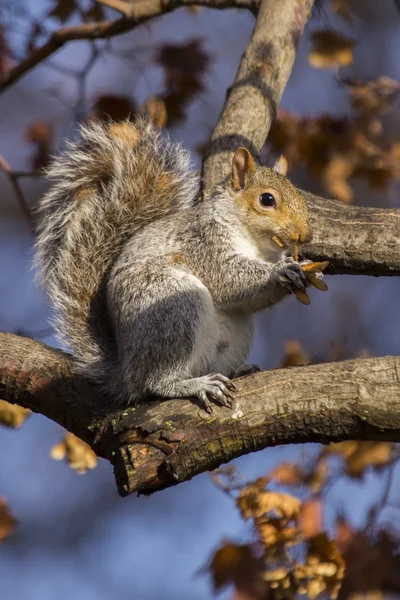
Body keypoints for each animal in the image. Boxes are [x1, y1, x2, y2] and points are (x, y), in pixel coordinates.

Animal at [34, 119, 314, 414]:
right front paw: (281, 271)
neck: (256, 243)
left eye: (300, 195)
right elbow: (229, 278)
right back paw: (194, 385)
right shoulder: (204, 242)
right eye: (267, 200)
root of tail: (127, 372)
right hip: (174, 306)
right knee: (156, 382)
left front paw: (302, 268)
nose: (306, 236)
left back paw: (236, 371)